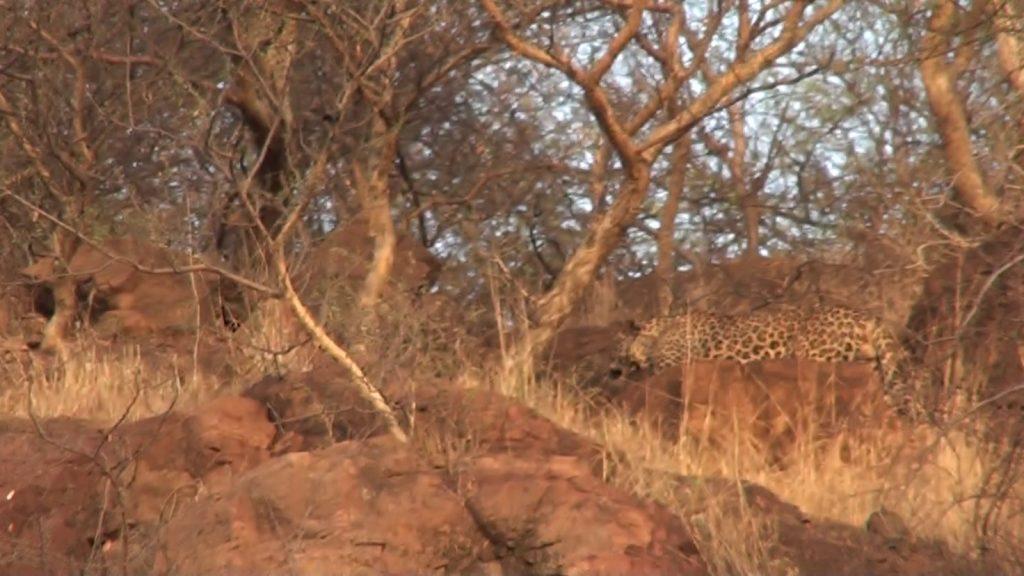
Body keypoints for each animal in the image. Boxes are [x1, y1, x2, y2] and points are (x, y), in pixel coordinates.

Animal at [606, 305, 921, 407]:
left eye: (615, 349)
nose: (608, 368)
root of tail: (866, 317)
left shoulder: (671, 364)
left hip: (814, 354)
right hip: (870, 367)